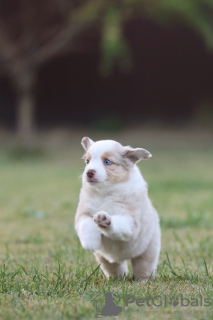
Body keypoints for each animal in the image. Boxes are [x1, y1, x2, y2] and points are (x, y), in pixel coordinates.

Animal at [74, 138, 160, 280]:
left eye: (107, 161)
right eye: (87, 161)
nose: (89, 172)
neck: (105, 193)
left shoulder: (131, 221)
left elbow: (119, 224)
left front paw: (104, 220)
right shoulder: (83, 214)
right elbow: (87, 224)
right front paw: (90, 243)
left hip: (148, 251)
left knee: (144, 267)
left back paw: (143, 280)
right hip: (105, 260)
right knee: (114, 267)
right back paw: (117, 278)